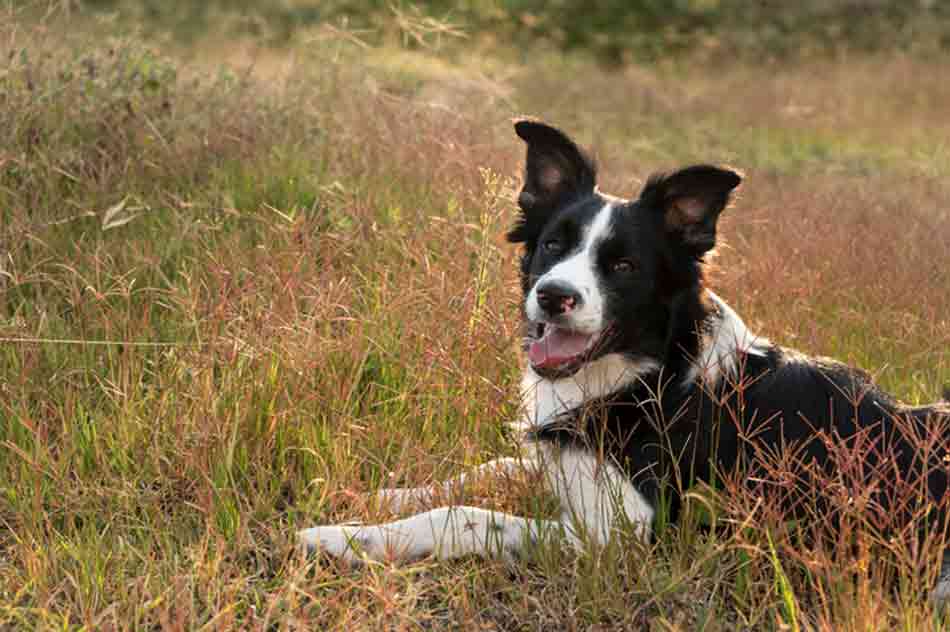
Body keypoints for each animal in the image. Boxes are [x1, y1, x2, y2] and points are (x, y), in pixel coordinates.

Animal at [300, 118, 950, 596]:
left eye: (623, 265)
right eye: (552, 245)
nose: (553, 295)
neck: (653, 375)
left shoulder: (625, 529)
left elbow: (469, 515)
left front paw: (345, 539)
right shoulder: (565, 457)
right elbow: (492, 468)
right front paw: (384, 497)